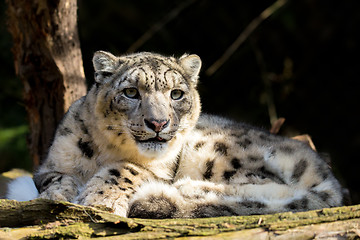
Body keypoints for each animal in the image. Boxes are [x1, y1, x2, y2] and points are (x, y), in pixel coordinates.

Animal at [6, 51, 344, 218]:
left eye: (177, 93)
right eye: (131, 92)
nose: (158, 123)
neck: (108, 150)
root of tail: (325, 170)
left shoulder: (155, 168)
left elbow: (127, 169)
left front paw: (99, 198)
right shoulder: (50, 165)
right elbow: (56, 178)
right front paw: (58, 195)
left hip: (219, 151)